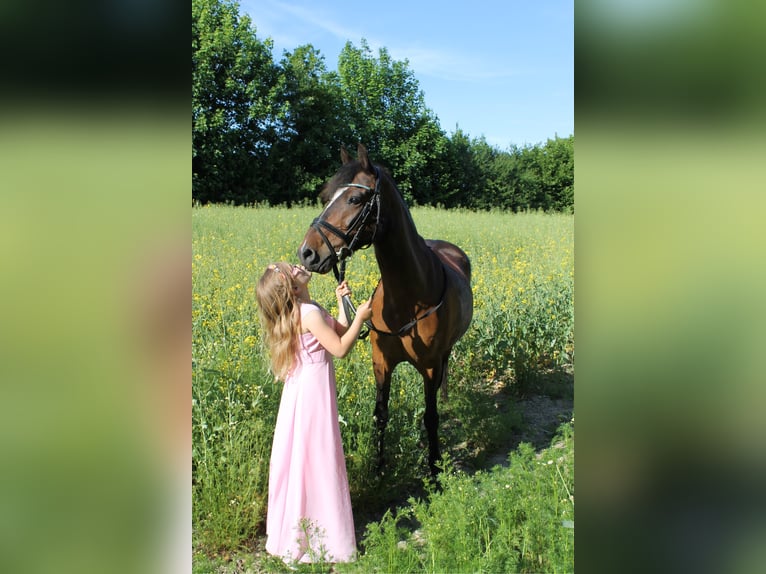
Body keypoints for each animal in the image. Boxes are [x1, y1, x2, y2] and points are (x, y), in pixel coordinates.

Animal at [298, 144, 474, 476]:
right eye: (326, 196)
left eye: (355, 199)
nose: (308, 253)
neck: (407, 297)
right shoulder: (381, 362)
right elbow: (381, 412)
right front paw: (379, 468)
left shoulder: (430, 366)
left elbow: (430, 417)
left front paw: (434, 469)